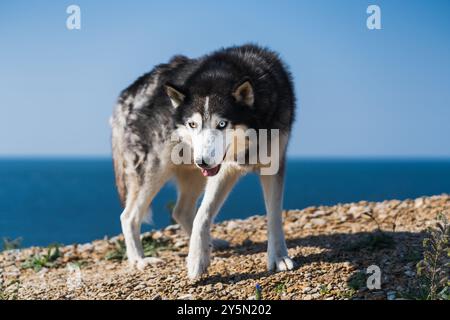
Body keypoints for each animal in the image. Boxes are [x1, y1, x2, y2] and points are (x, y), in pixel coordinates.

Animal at [111, 43, 298, 278]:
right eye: (193, 124)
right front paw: (196, 261)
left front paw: (279, 257)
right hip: (156, 172)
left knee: (180, 211)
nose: (203, 162)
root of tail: (128, 93)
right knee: (128, 216)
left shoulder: (271, 167)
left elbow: (274, 216)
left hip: (193, 176)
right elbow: (203, 214)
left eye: (222, 124)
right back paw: (139, 260)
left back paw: (211, 243)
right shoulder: (223, 170)